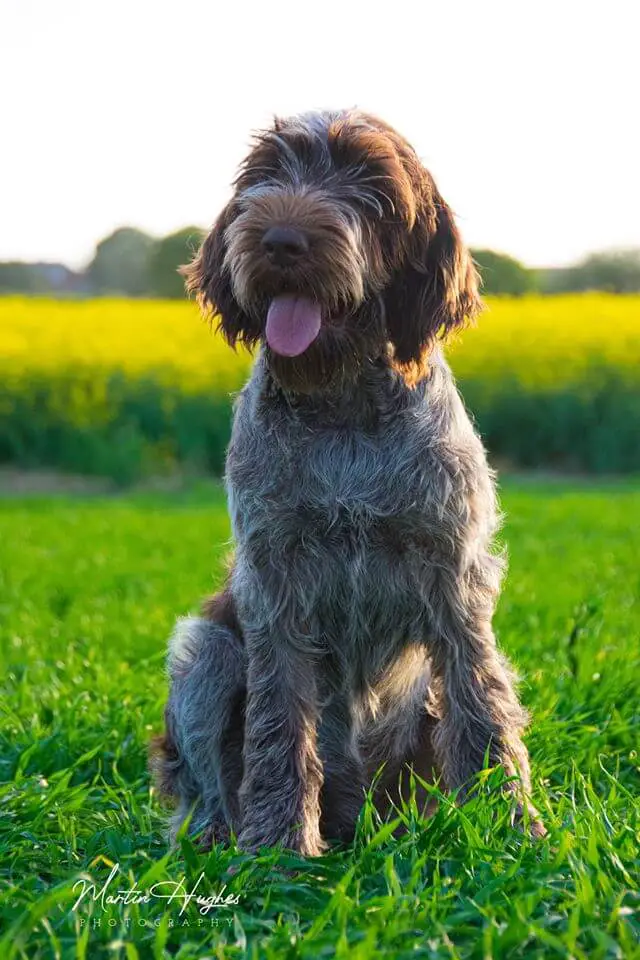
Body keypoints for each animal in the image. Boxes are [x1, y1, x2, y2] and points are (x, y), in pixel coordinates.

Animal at [151, 109, 544, 852]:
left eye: (370, 185)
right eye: (264, 175)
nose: (281, 240)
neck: (343, 409)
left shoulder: (454, 576)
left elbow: (481, 706)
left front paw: (506, 827)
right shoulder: (275, 583)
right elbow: (277, 724)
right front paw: (277, 847)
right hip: (206, 650)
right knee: (204, 788)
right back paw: (222, 837)